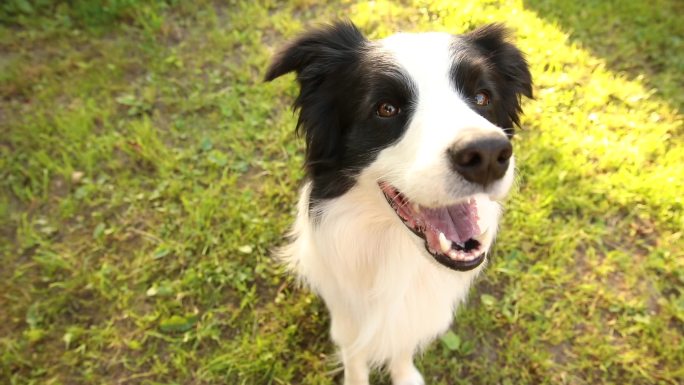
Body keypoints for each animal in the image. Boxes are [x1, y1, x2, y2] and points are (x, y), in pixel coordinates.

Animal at [264, 21, 532, 384]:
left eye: (482, 97)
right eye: (386, 109)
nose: (488, 153)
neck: (397, 251)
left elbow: (401, 344)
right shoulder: (346, 315)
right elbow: (355, 355)